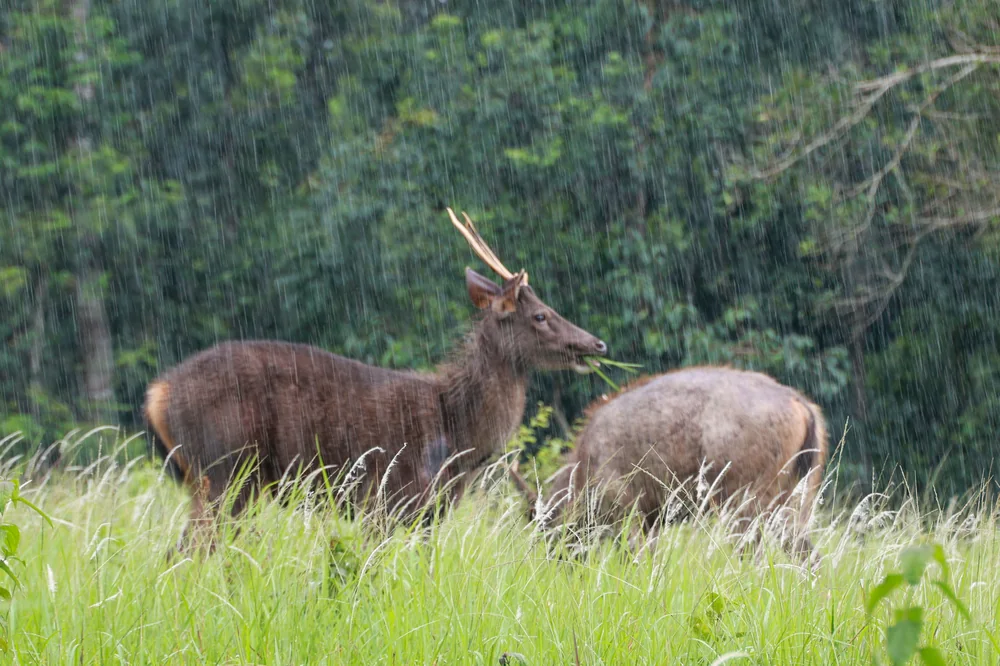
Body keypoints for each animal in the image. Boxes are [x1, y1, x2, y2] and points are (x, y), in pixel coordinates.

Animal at [144, 208, 608, 550]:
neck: (458, 431)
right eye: (541, 315)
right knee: (190, 549)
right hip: (224, 467)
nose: (597, 344)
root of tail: (157, 394)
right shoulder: (383, 499)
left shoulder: (428, 512)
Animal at [511, 367, 828, 565]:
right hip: (791, 505)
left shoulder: (627, 515)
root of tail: (801, 405)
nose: (561, 562)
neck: (584, 465)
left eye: (547, 527)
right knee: (809, 558)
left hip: (744, 504)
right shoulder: (651, 521)